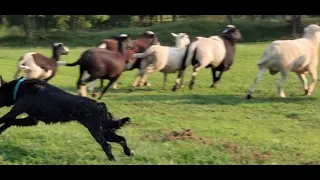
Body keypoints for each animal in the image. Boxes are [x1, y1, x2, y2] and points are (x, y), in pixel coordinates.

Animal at [0, 76, 134, 162]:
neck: (20, 87)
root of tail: (100, 105)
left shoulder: (16, 112)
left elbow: (4, 119)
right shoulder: (31, 120)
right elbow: (9, 122)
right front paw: (1, 131)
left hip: (96, 131)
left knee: (107, 146)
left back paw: (113, 160)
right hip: (105, 131)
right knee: (121, 139)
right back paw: (129, 152)